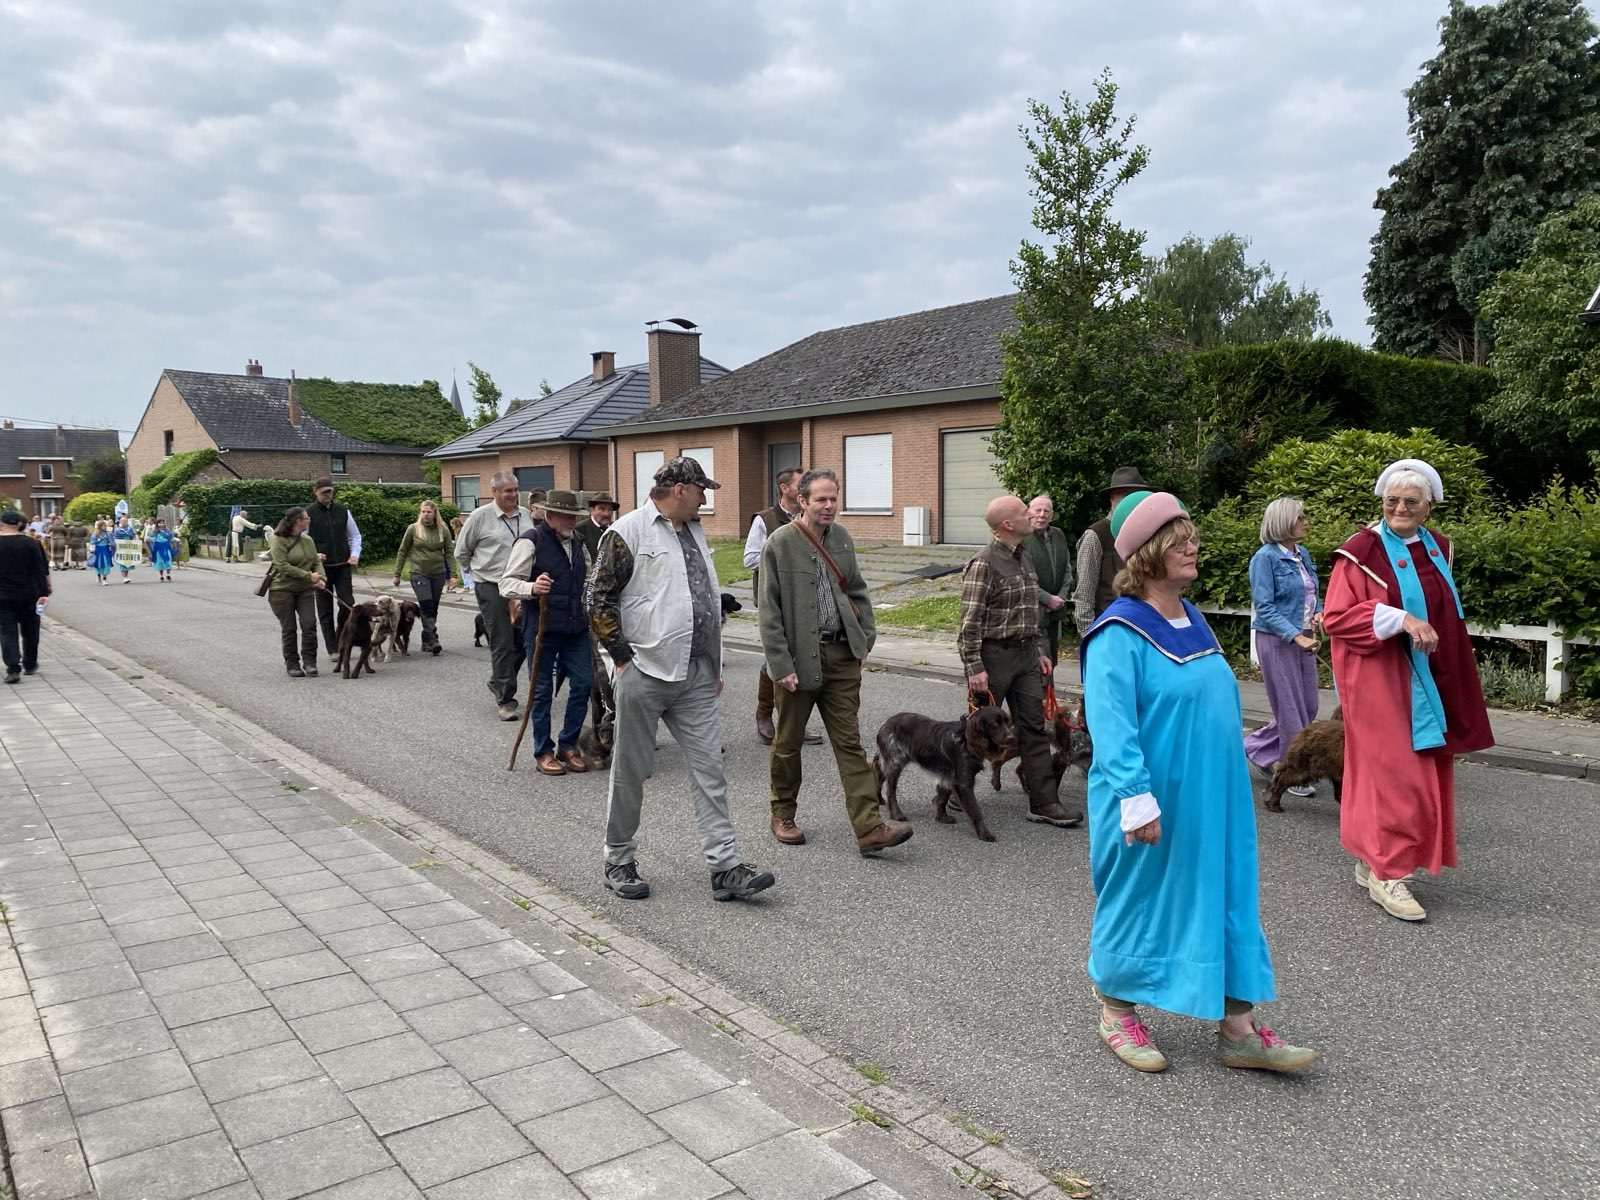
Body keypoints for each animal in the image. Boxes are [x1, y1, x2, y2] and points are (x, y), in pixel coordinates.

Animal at [873, 706, 1014, 842]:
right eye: (994, 724)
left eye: (1008, 722)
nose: (1012, 738)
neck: (965, 741)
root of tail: (886, 723)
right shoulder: (963, 783)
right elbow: (975, 811)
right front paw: (985, 834)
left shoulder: (947, 777)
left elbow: (942, 799)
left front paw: (942, 817)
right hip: (895, 763)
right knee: (891, 791)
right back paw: (897, 814)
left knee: (878, 777)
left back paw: (879, 799)